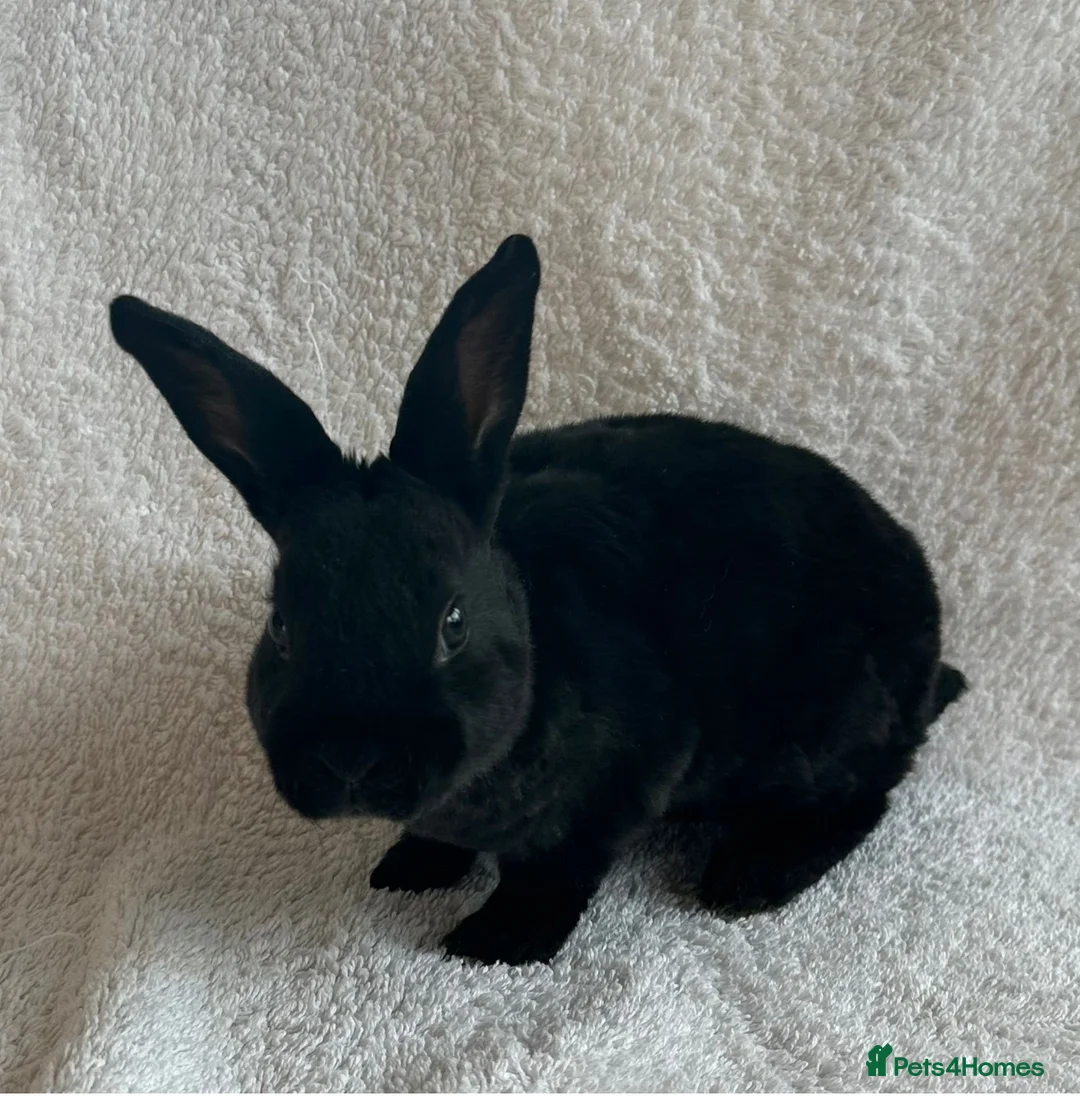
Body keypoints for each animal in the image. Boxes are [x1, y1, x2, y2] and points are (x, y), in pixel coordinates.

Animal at [109, 234, 966, 966]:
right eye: (282, 627)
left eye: (452, 624)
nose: (351, 759)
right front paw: (408, 868)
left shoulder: (624, 781)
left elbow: (551, 872)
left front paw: (494, 943)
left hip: (824, 738)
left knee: (864, 799)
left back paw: (748, 878)